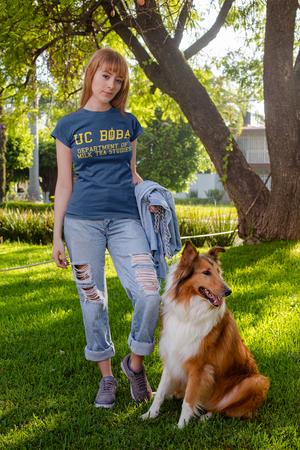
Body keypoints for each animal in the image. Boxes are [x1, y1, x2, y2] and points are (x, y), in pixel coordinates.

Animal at [143, 241, 270, 428]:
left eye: (218, 272)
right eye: (206, 272)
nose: (228, 291)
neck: (190, 311)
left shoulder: (200, 366)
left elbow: (189, 400)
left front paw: (180, 426)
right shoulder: (171, 357)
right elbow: (160, 392)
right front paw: (150, 414)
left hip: (255, 381)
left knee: (223, 408)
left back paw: (205, 416)